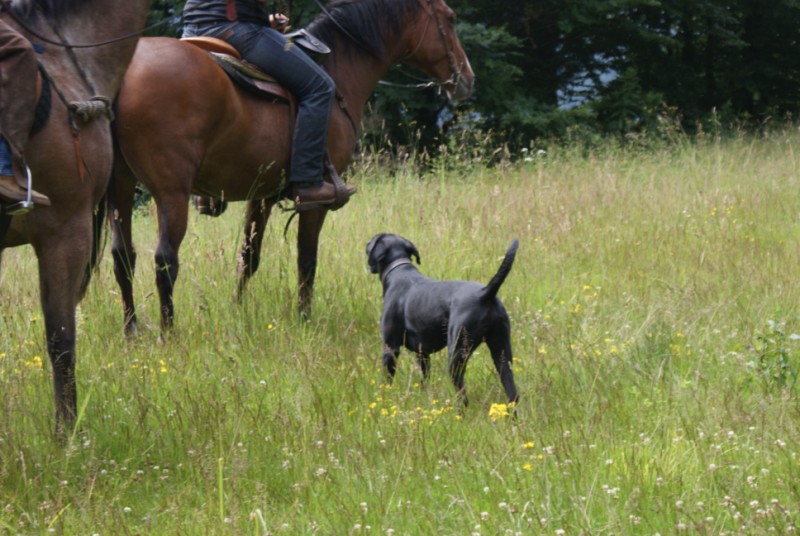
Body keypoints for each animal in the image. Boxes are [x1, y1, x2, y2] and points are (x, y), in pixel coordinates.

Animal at [111, 0, 476, 332]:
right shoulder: (315, 202)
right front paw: (304, 319)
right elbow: (306, 259)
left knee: (122, 255)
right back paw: (168, 334)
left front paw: (238, 309)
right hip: (170, 193)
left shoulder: (262, 195)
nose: (467, 79)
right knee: (164, 261)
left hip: (121, 187)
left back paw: (131, 329)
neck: (339, 70)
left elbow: (248, 257)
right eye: (450, 18)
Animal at [368, 233, 520, 406]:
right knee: (513, 394)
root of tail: (486, 293)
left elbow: (387, 380)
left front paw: (383, 398)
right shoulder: (422, 353)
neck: (399, 271)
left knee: (463, 396)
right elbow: (424, 378)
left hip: (457, 356)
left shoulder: (390, 348)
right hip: (502, 354)